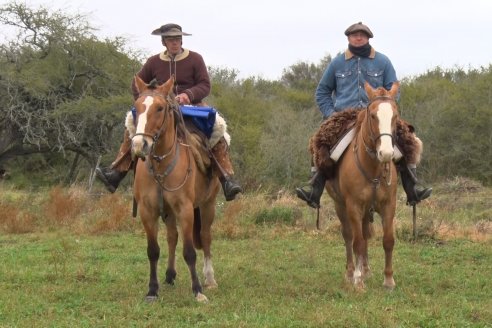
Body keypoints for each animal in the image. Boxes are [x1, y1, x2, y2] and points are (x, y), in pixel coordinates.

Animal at [133, 75, 221, 302]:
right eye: (136, 107)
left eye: (160, 108)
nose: (139, 145)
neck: (161, 165)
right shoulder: (148, 211)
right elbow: (153, 250)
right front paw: (152, 290)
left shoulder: (185, 209)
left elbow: (190, 252)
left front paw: (197, 290)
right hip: (169, 211)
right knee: (172, 237)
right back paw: (170, 275)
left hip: (207, 205)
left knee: (206, 237)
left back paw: (210, 279)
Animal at [326, 82, 400, 290]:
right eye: (373, 115)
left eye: (395, 115)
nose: (386, 153)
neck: (373, 168)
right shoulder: (354, 206)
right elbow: (357, 242)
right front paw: (358, 281)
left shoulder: (388, 205)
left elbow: (388, 240)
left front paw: (388, 279)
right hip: (341, 206)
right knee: (349, 236)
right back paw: (352, 272)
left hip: (368, 209)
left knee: (365, 234)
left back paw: (365, 269)